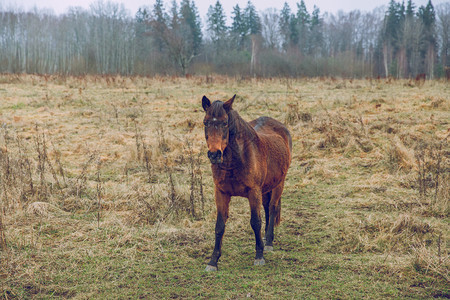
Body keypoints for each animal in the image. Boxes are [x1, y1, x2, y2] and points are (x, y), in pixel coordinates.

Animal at [203, 95, 294, 270]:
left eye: (225, 123)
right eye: (205, 122)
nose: (214, 154)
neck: (235, 161)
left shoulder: (253, 192)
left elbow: (255, 222)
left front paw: (259, 256)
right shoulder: (221, 193)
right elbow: (219, 226)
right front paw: (213, 261)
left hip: (279, 184)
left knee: (272, 208)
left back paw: (269, 242)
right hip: (266, 188)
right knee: (267, 208)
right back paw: (265, 239)